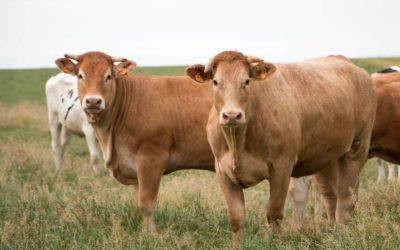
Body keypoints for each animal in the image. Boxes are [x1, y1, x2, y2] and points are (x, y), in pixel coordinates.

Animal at [54, 52, 216, 232]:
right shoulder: (132, 166)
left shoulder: (151, 159)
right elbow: (139, 200)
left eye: (108, 76)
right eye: (80, 75)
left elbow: (146, 202)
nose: (93, 101)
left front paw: (149, 233)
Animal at [187, 50, 376, 248]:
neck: (237, 143)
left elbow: (274, 213)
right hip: (327, 155)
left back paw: (342, 234)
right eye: (215, 81)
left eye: (247, 81)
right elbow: (236, 217)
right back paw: (332, 232)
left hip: (357, 148)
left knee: (347, 196)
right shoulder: (223, 171)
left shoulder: (281, 167)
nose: (232, 115)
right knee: (330, 194)